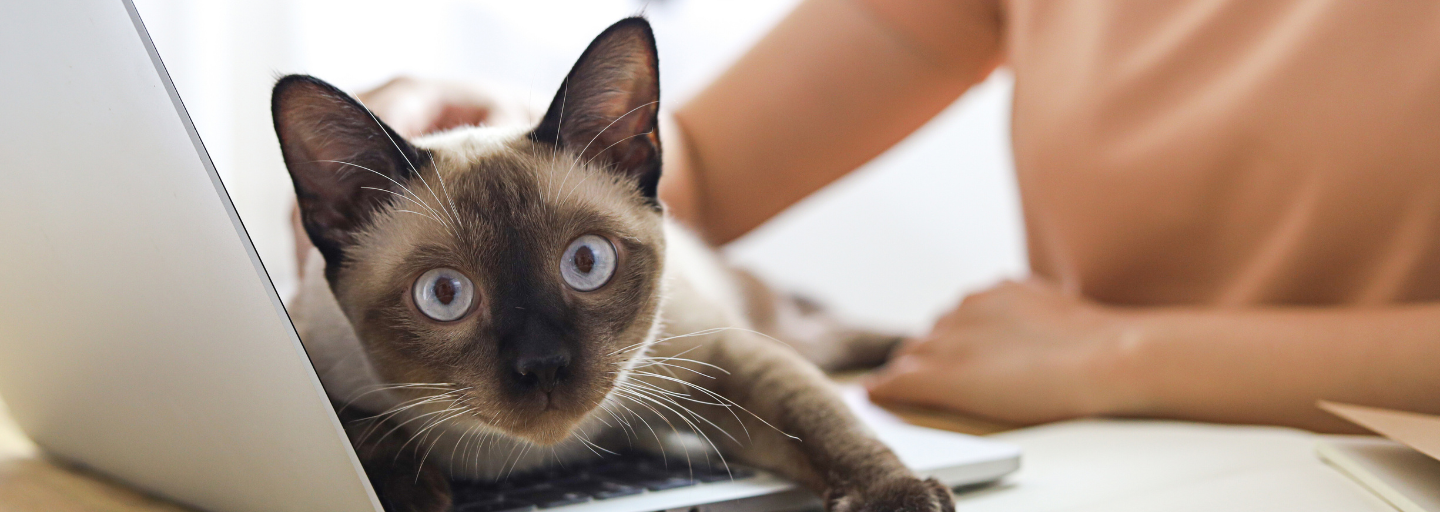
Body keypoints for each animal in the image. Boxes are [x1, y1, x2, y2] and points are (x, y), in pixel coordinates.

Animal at [273, 16, 950, 512]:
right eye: (445, 294)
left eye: (587, 262)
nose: (543, 366)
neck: (532, 458)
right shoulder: (318, 365)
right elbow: (360, 428)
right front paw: (414, 494)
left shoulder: (719, 356)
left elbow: (820, 419)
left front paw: (898, 498)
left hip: (770, 326)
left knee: (828, 339)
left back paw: (912, 353)